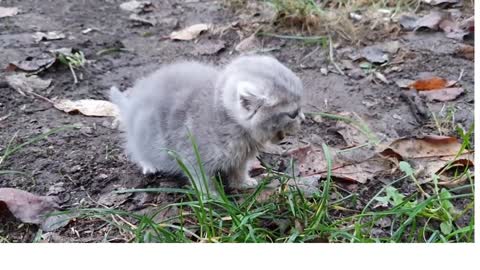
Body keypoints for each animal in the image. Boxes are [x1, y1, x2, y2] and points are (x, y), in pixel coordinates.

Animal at [110, 54, 304, 194]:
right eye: (292, 114)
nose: (303, 119)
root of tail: (131, 104)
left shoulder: (240, 157)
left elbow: (239, 170)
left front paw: (242, 183)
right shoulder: (194, 158)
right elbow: (203, 180)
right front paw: (211, 197)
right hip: (144, 134)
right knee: (137, 148)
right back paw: (148, 164)